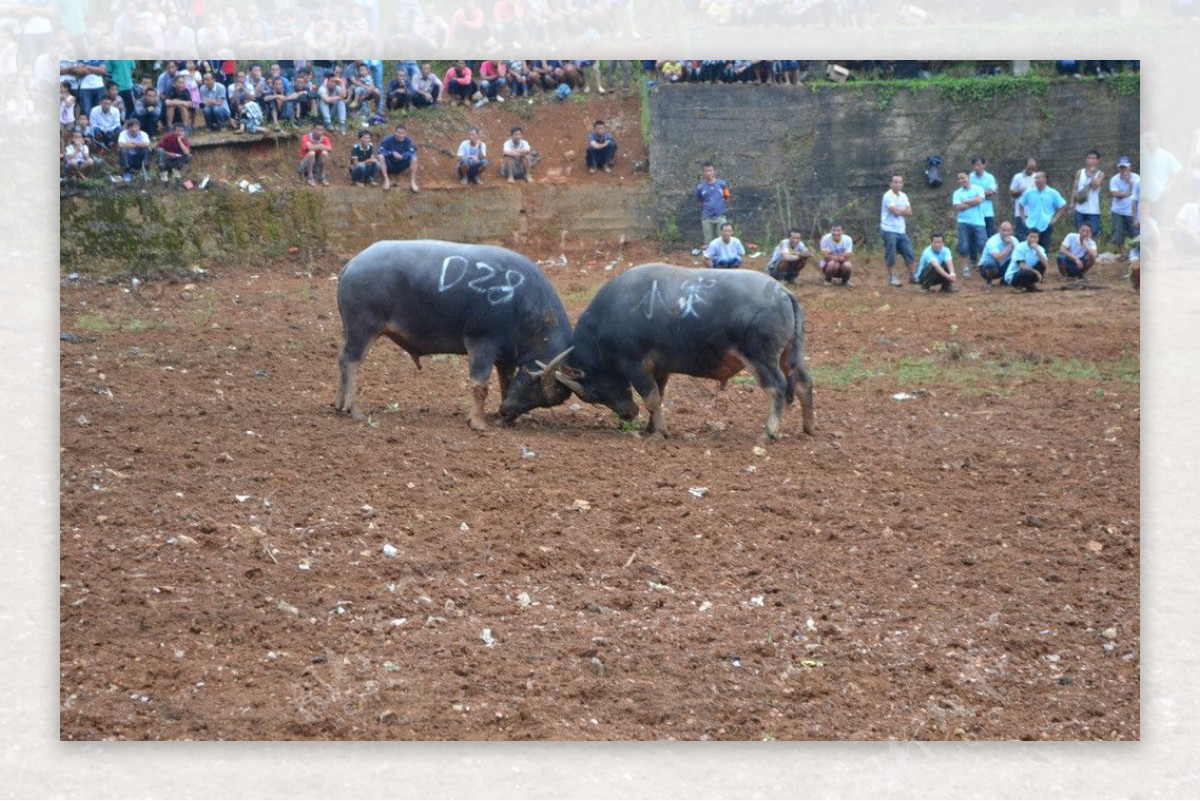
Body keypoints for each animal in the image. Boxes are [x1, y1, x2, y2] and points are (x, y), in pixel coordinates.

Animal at [333, 237, 576, 429]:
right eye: (533, 386)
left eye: (542, 399)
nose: (507, 412)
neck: (521, 303)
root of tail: (352, 264)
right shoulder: (482, 344)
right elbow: (481, 386)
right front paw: (477, 422)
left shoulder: (506, 359)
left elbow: (505, 383)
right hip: (363, 328)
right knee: (351, 362)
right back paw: (354, 409)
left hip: (351, 330)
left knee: (342, 359)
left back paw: (338, 404)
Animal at [549, 262, 816, 438]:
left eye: (593, 394)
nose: (628, 414)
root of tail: (783, 293)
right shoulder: (659, 369)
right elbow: (659, 396)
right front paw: (650, 428)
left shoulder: (633, 365)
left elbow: (651, 398)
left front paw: (660, 432)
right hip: (791, 356)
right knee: (804, 385)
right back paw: (809, 428)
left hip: (762, 359)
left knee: (777, 387)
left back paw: (769, 432)